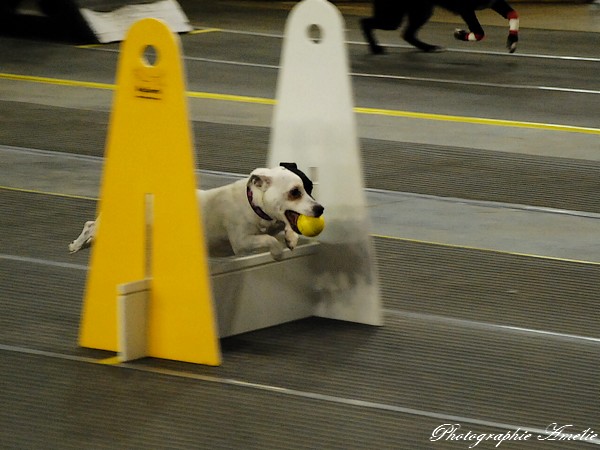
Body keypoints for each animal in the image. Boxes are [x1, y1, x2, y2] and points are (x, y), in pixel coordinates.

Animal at [67, 163, 324, 258]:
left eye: (309, 188)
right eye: (294, 192)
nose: (319, 208)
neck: (255, 206)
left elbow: (285, 229)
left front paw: (290, 238)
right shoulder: (241, 242)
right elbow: (269, 241)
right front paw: (278, 249)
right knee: (91, 225)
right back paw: (77, 244)